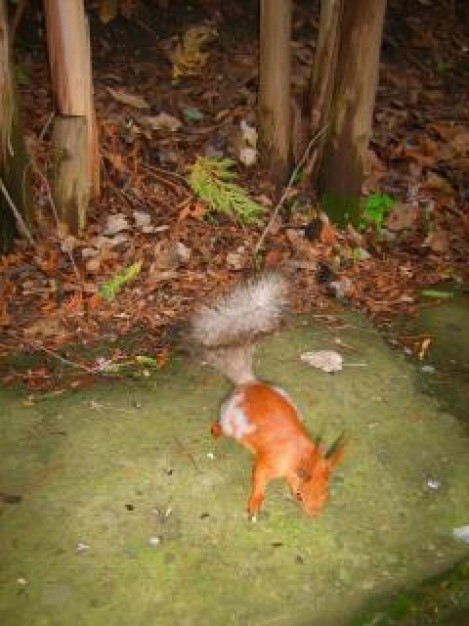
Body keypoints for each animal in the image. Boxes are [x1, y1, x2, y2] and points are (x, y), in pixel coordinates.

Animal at [190, 272, 344, 516]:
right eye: (299, 495)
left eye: (326, 492)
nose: (313, 515)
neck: (299, 454)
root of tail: (248, 384)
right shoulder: (268, 463)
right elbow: (259, 478)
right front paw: (255, 503)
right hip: (230, 419)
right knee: (221, 426)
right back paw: (216, 431)